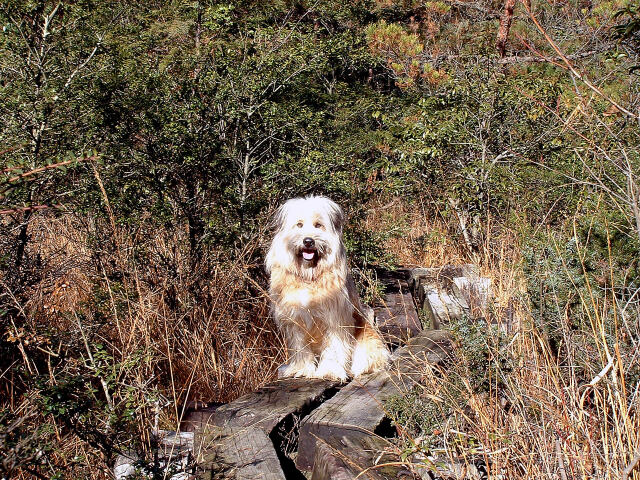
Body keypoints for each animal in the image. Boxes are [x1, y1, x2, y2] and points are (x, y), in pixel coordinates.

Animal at [264, 197, 390, 380]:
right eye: (299, 225)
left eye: (318, 225)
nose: (308, 241)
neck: (309, 276)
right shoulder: (295, 320)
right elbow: (300, 347)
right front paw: (302, 369)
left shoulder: (334, 319)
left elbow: (334, 348)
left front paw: (330, 371)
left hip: (368, 339)